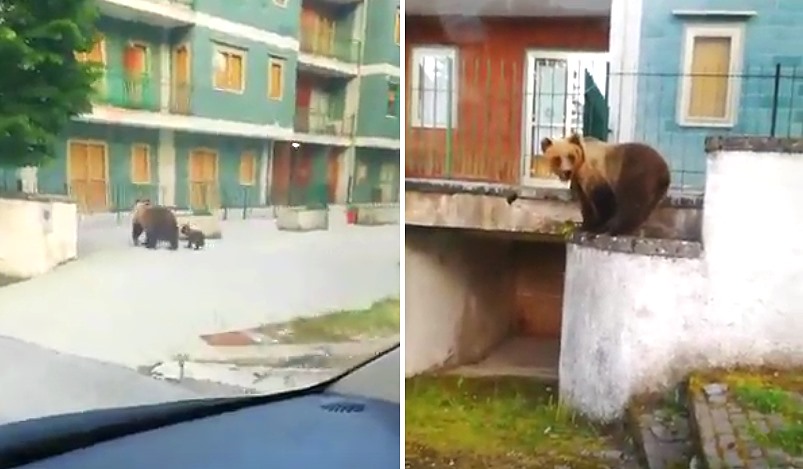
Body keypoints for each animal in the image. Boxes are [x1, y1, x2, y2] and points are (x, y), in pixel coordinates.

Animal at [536, 132, 676, 236]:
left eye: (570, 156)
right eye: (557, 158)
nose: (566, 171)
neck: (580, 166)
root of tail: (665, 171)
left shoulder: (596, 172)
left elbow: (604, 198)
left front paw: (598, 226)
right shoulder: (579, 182)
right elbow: (585, 203)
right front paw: (585, 225)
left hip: (635, 173)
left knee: (632, 202)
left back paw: (617, 229)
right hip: (657, 190)